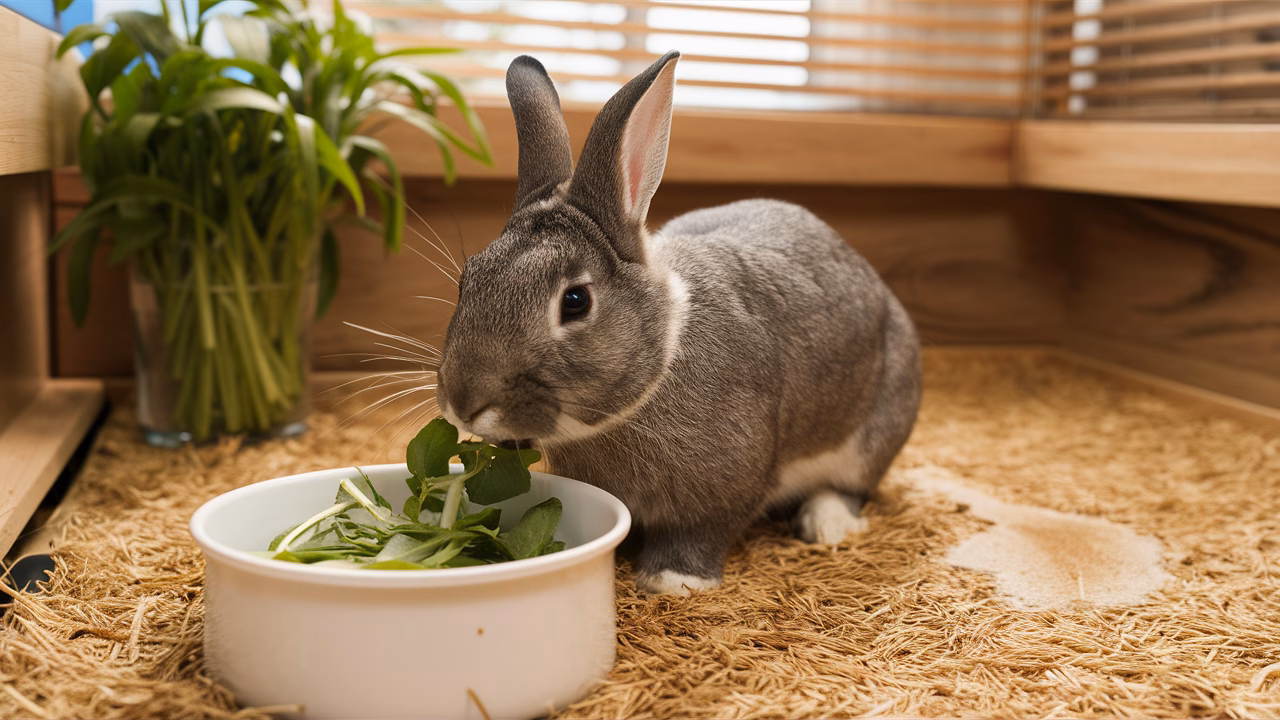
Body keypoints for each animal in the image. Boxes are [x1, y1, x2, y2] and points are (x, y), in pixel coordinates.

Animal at [435, 51, 922, 595]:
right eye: (468, 278)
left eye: (576, 301)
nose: (463, 403)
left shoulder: (726, 483)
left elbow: (703, 530)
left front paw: (672, 580)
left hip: (875, 430)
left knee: (852, 486)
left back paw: (826, 523)